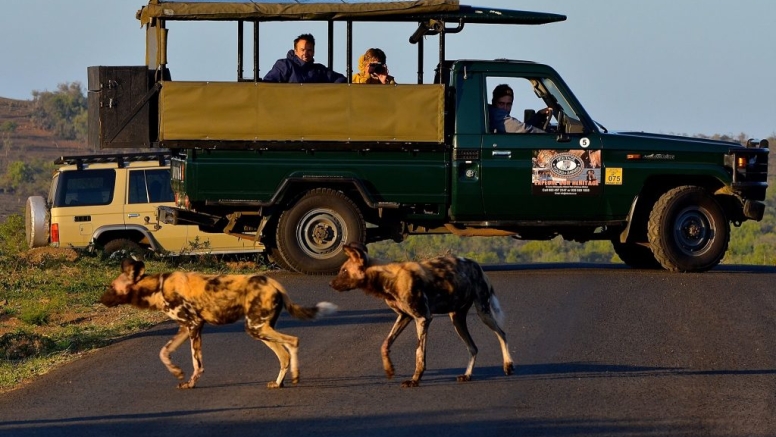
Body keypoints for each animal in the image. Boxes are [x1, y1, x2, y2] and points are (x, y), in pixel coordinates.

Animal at [101, 258, 336, 386]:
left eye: (111, 287)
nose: (100, 300)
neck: (158, 287)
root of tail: (272, 281)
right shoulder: (185, 328)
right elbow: (164, 352)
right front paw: (177, 372)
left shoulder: (194, 325)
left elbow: (197, 362)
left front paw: (191, 382)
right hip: (261, 328)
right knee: (284, 352)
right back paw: (280, 383)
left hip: (255, 327)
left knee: (293, 341)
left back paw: (293, 377)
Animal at [328, 242, 516, 388]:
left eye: (344, 271)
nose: (330, 284)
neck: (387, 278)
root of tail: (477, 265)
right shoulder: (404, 317)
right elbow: (385, 344)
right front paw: (389, 369)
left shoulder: (423, 318)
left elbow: (419, 354)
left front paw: (414, 380)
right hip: (457, 319)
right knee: (473, 347)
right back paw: (467, 375)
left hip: (483, 312)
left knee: (502, 333)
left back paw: (508, 365)